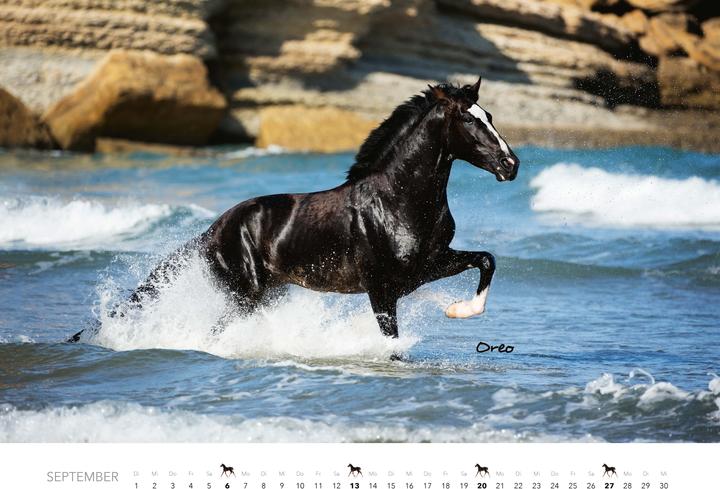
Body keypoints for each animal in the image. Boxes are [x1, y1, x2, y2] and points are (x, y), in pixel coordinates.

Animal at [69, 76, 518, 344]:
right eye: (469, 121)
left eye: (490, 116)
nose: (511, 164)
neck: (397, 201)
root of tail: (210, 232)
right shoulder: (381, 288)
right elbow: (391, 342)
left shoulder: (427, 266)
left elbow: (486, 260)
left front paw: (459, 310)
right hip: (245, 295)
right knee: (215, 331)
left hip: (266, 294)